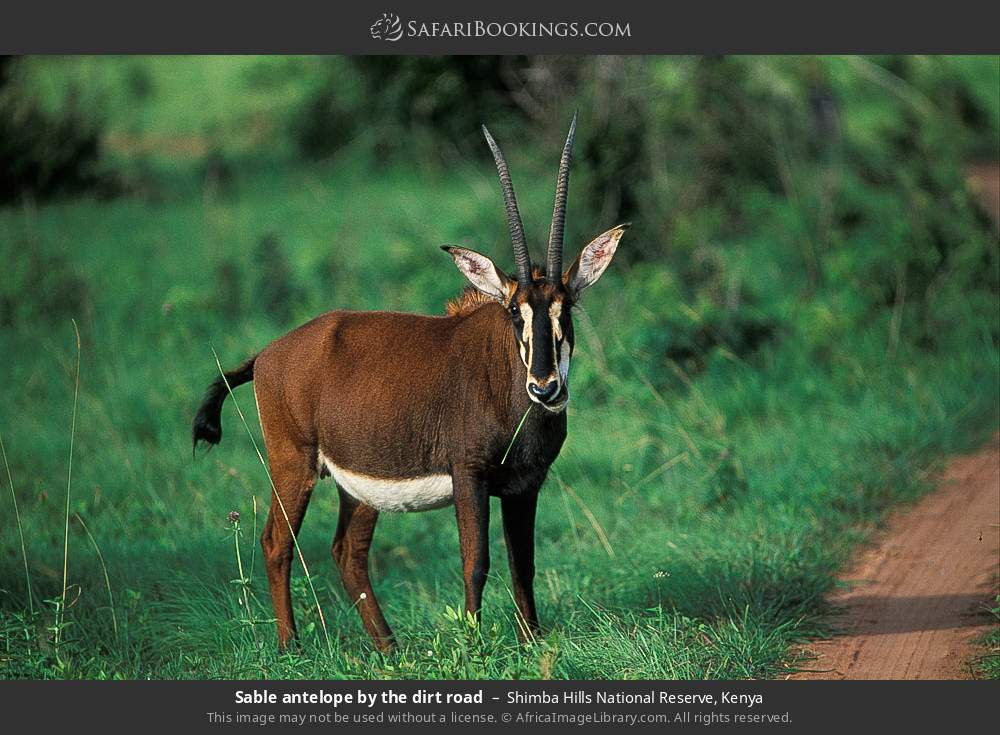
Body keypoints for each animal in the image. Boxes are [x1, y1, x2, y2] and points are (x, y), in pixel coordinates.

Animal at [192, 116, 628, 651]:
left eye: (566, 308)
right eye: (513, 310)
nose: (545, 388)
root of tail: (268, 355)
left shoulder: (526, 485)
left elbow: (522, 567)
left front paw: (533, 643)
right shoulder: (469, 474)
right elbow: (476, 562)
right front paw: (474, 645)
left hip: (359, 485)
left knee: (348, 552)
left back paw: (388, 647)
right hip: (292, 464)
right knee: (277, 542)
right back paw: (290, 645)